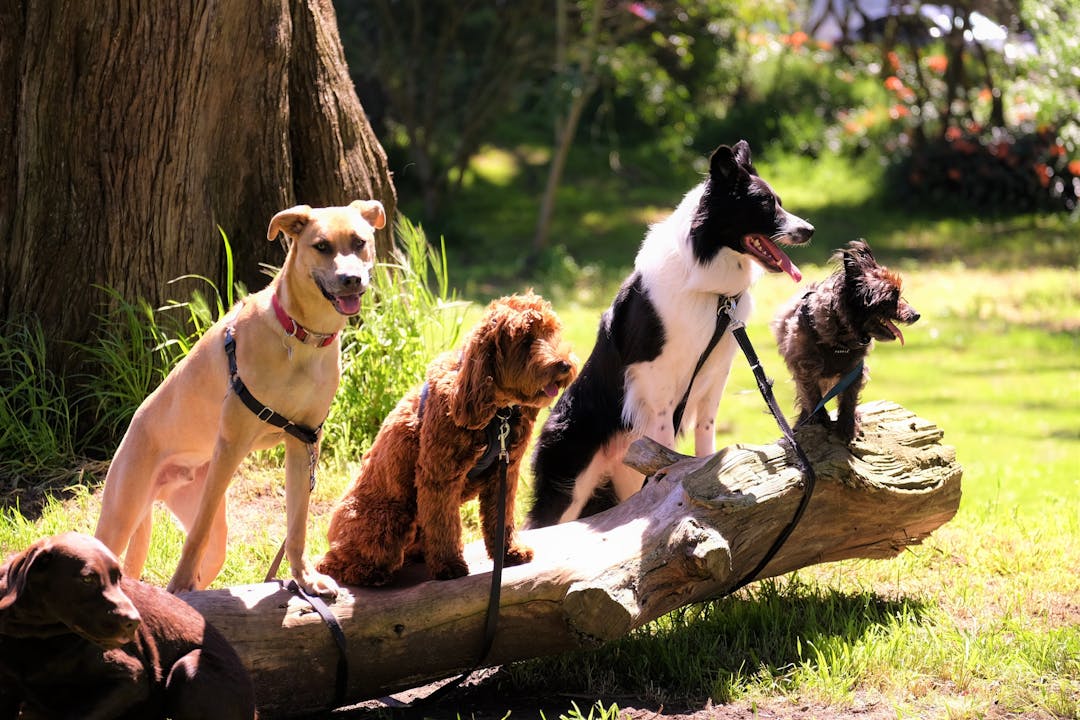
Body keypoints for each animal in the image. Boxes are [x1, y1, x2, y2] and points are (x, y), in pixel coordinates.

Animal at [95, 199, 386, 595]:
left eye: (359, 242)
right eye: (322, 246)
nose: (351, 279)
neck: (300, 337)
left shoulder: (304, 441)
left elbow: (297, 524)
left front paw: (305, 578)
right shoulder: (231, 445)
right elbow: (196, 536)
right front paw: (177, 585)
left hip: (213, 533)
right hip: (121, 514)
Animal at [317, 293, 578, 587]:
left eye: (552, 332)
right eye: (525, 340)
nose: (565, 365)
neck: (497, 412)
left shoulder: (505, 472)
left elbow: (501, 518)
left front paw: (509, 552)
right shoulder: (439, 476)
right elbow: (444, 525)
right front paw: (449, 565)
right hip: (389, 521)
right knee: (329, 564)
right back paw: (369, 573)